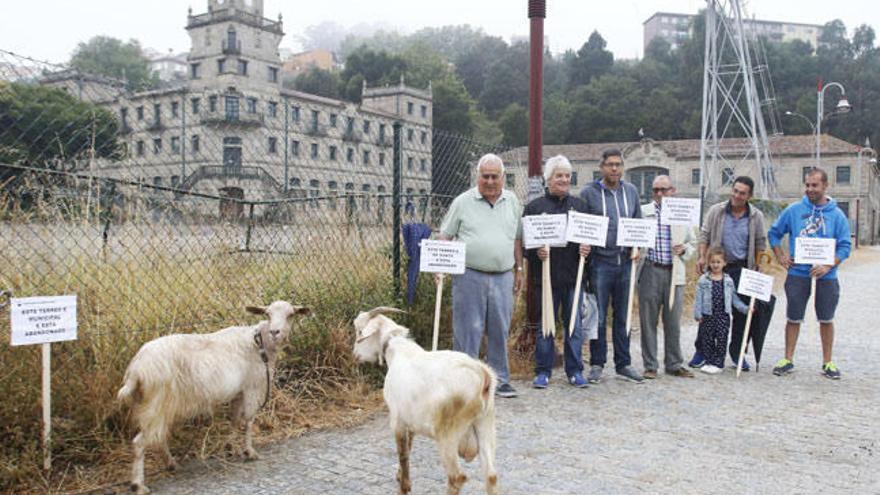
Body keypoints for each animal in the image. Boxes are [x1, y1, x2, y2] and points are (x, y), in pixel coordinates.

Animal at [117, 300, 310, 494]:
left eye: (290, 315)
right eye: (268, 314)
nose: (275, 332)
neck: (260, 343)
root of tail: (135, 371)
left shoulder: (238, 392)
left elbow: (235, 420)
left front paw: (229, 447)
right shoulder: (252, 387)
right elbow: (248, 420)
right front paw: (249, 451)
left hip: (152, 405)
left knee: (158, 437)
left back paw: (171, 464)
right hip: (156, 403)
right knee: (139, 443)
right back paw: (138, 484)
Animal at [352, 308, 502, 494]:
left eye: (360, 332)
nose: (355, 355)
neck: (400, 352)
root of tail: (482, 374)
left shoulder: (397, 420)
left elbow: (403, 454)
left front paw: (403, 488)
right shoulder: (411, 421)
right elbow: (409, 447)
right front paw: (401, 477)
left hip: (448, 434)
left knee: (457, 477)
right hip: (485, 424)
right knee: (491, 476)